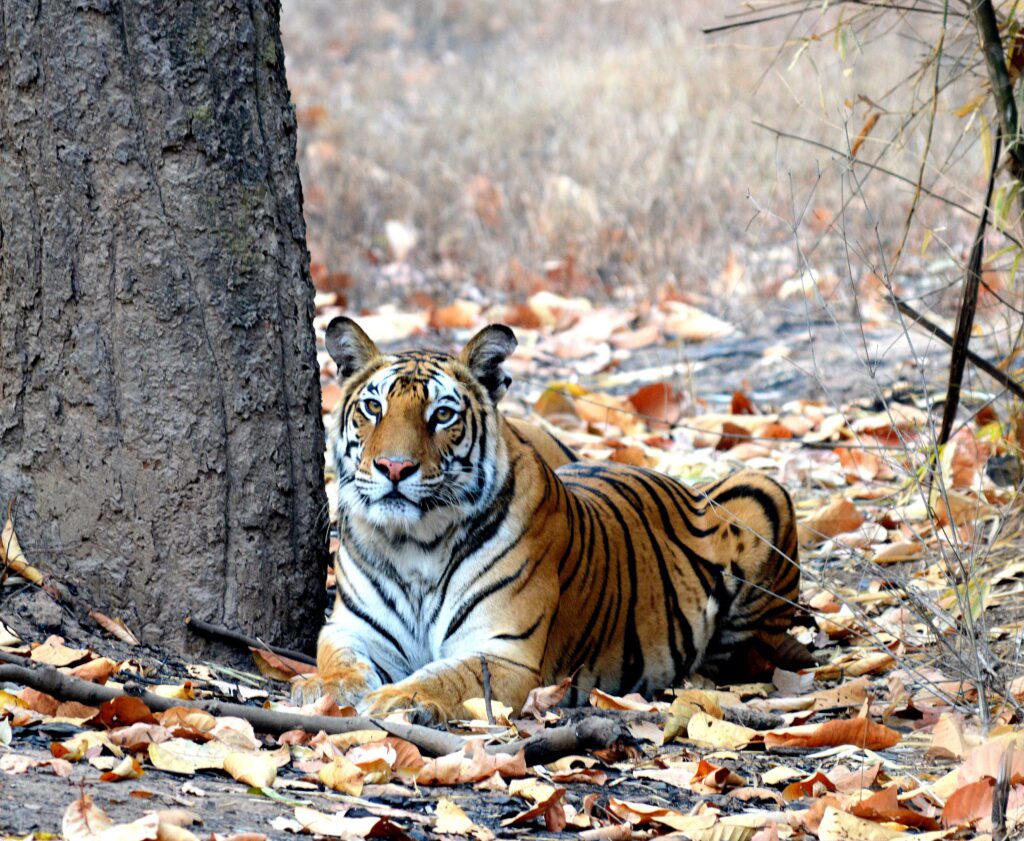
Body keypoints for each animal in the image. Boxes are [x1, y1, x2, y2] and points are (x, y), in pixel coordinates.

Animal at [292, 317, 811, 717]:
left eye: (442, 415)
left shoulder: (505, 652)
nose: (394, 468)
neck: (414, 542)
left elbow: (443, 677)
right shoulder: (352, 628)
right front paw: (324, 688)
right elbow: (339, 659)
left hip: (763, 494)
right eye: (373, 407)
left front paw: (396, 699)